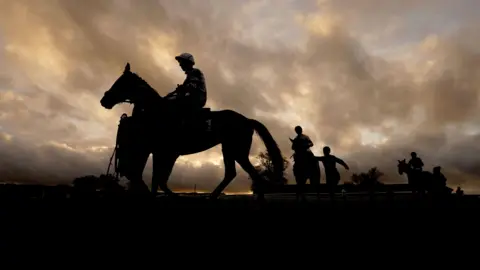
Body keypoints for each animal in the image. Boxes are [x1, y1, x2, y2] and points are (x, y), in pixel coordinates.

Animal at [99, 62, 284, 198]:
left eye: (121, 83)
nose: (104, 100)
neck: (159, 112)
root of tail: (247, 120)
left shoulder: (168, 153)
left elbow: (160, 180)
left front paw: (174, 197)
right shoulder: (158, 152)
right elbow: (156, 179)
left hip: (237, 150)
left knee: (250, 174)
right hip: (228, 149)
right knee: (232, 173)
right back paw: (211, 197)